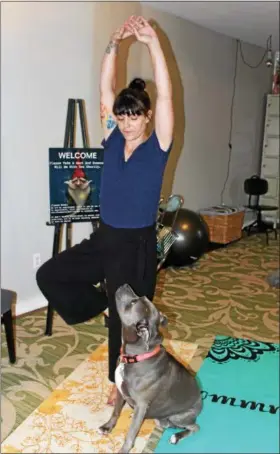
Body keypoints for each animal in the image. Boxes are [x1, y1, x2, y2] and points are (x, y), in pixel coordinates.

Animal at [98, 284, 201, 450]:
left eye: (133, 303)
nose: (125, 285)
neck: (136, 357)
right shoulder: (120, 391)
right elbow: (116, 411)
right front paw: (108, 427)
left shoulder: (141, 404)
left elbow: (130, 434)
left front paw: (124, 450)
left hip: (179, 416)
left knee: (194, 427)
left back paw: (176, 437)